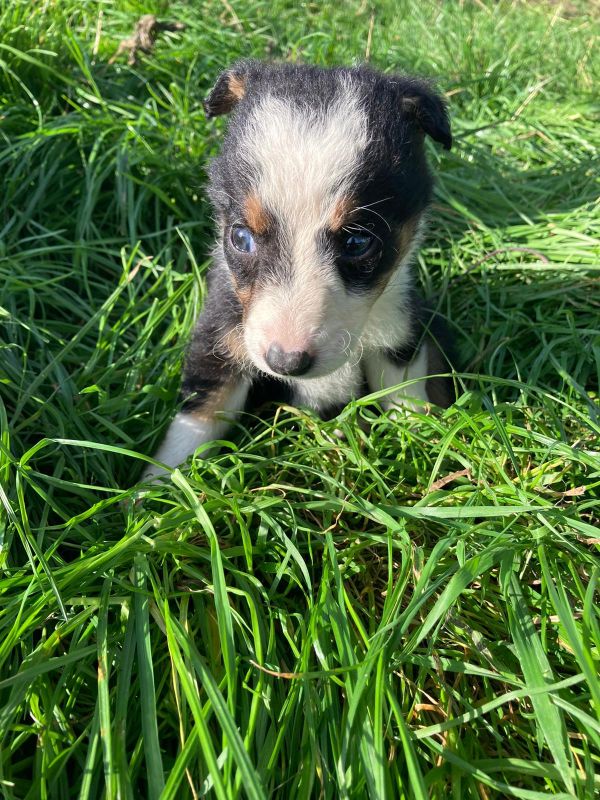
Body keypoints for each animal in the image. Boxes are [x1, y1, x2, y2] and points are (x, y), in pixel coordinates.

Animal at [144, 59, 454, 482]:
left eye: (358, 243)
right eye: (240, 237)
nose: (286, 363)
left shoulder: (397, 331)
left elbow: (407, 399)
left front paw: (430, 452)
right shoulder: (222, 334)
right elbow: (200, 417)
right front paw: (159, 487)